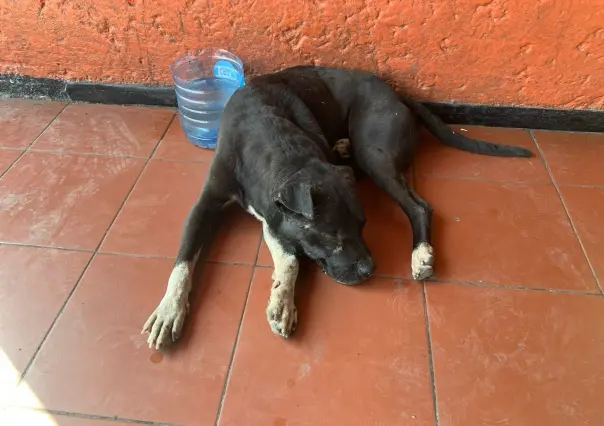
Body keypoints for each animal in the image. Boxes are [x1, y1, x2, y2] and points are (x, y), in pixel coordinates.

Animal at [140, 65, 528, 348]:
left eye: (364, 224)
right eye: (330, 236)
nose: (371, 270)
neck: (270, 137)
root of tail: (398, 94)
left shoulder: (275, 213)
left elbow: (292, 259)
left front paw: (283, 301)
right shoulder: (236, 209)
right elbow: (185, 262)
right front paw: (170, 309)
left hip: (373, 152)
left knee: (419, 207)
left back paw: (421, 254)